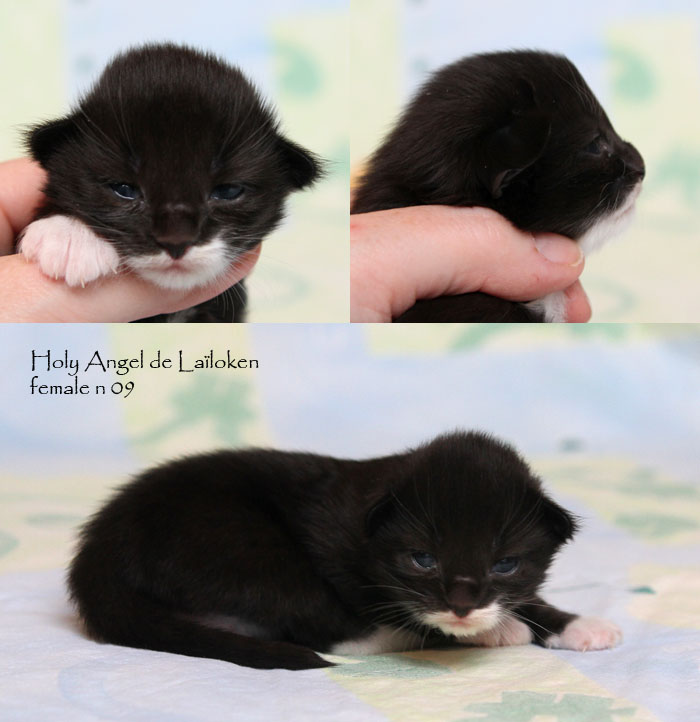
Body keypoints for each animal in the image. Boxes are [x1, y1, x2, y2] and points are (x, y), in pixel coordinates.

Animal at [68, 431, 621, 670]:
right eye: (423, 559)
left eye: (505, 563)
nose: (463, 606)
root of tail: (98, 549)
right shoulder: (328, 538)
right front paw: (496, 628)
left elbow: (526, 597)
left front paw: (577, 624)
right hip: (241, 545)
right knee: (319, 623)